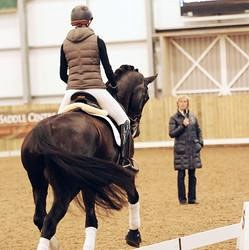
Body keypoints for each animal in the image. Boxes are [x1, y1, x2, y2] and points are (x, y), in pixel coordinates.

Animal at [21, 65, 158, 249]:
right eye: (146, 97)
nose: (136, 129)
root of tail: (43, 133)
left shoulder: (90, 181)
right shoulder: (115, 172)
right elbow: (133, 195)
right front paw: (133, 236)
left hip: (38, 182)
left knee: (39, 217)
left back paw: (54, 244)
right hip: (67, 188)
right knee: (51, 221)